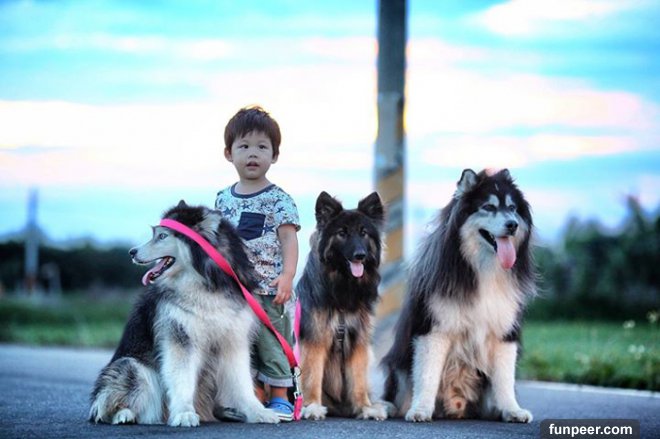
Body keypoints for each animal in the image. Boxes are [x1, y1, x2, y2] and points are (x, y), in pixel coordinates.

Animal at [89, 201, 280, 426]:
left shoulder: (234, 339)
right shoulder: (180, 337)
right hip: (133, 367)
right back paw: (123, 414)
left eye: (162, 236)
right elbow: (182, 378)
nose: (131, 252)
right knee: (105, 406)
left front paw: (257, 411)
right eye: (156, 234)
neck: (205, 284)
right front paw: (183, 413)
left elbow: (241, 382)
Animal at [296, 191, 388, 420]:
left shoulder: (358, 342)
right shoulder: (314, 340)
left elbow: (358, 381)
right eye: (342, 233)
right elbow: (311, 377)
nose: (360, 255)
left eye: (364, 233)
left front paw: (365, 407)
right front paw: (311, 406)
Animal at [381, 169, 536, 423]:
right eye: (489, 207)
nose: (512, 225)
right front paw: (421, 409)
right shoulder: (433, 330)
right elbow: (427, 376)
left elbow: (505, 380)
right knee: (397, 392)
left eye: (512, 208)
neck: (485, 271)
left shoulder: (504, 333)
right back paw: (387, 407)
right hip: (398, 364)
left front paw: (512, 410)